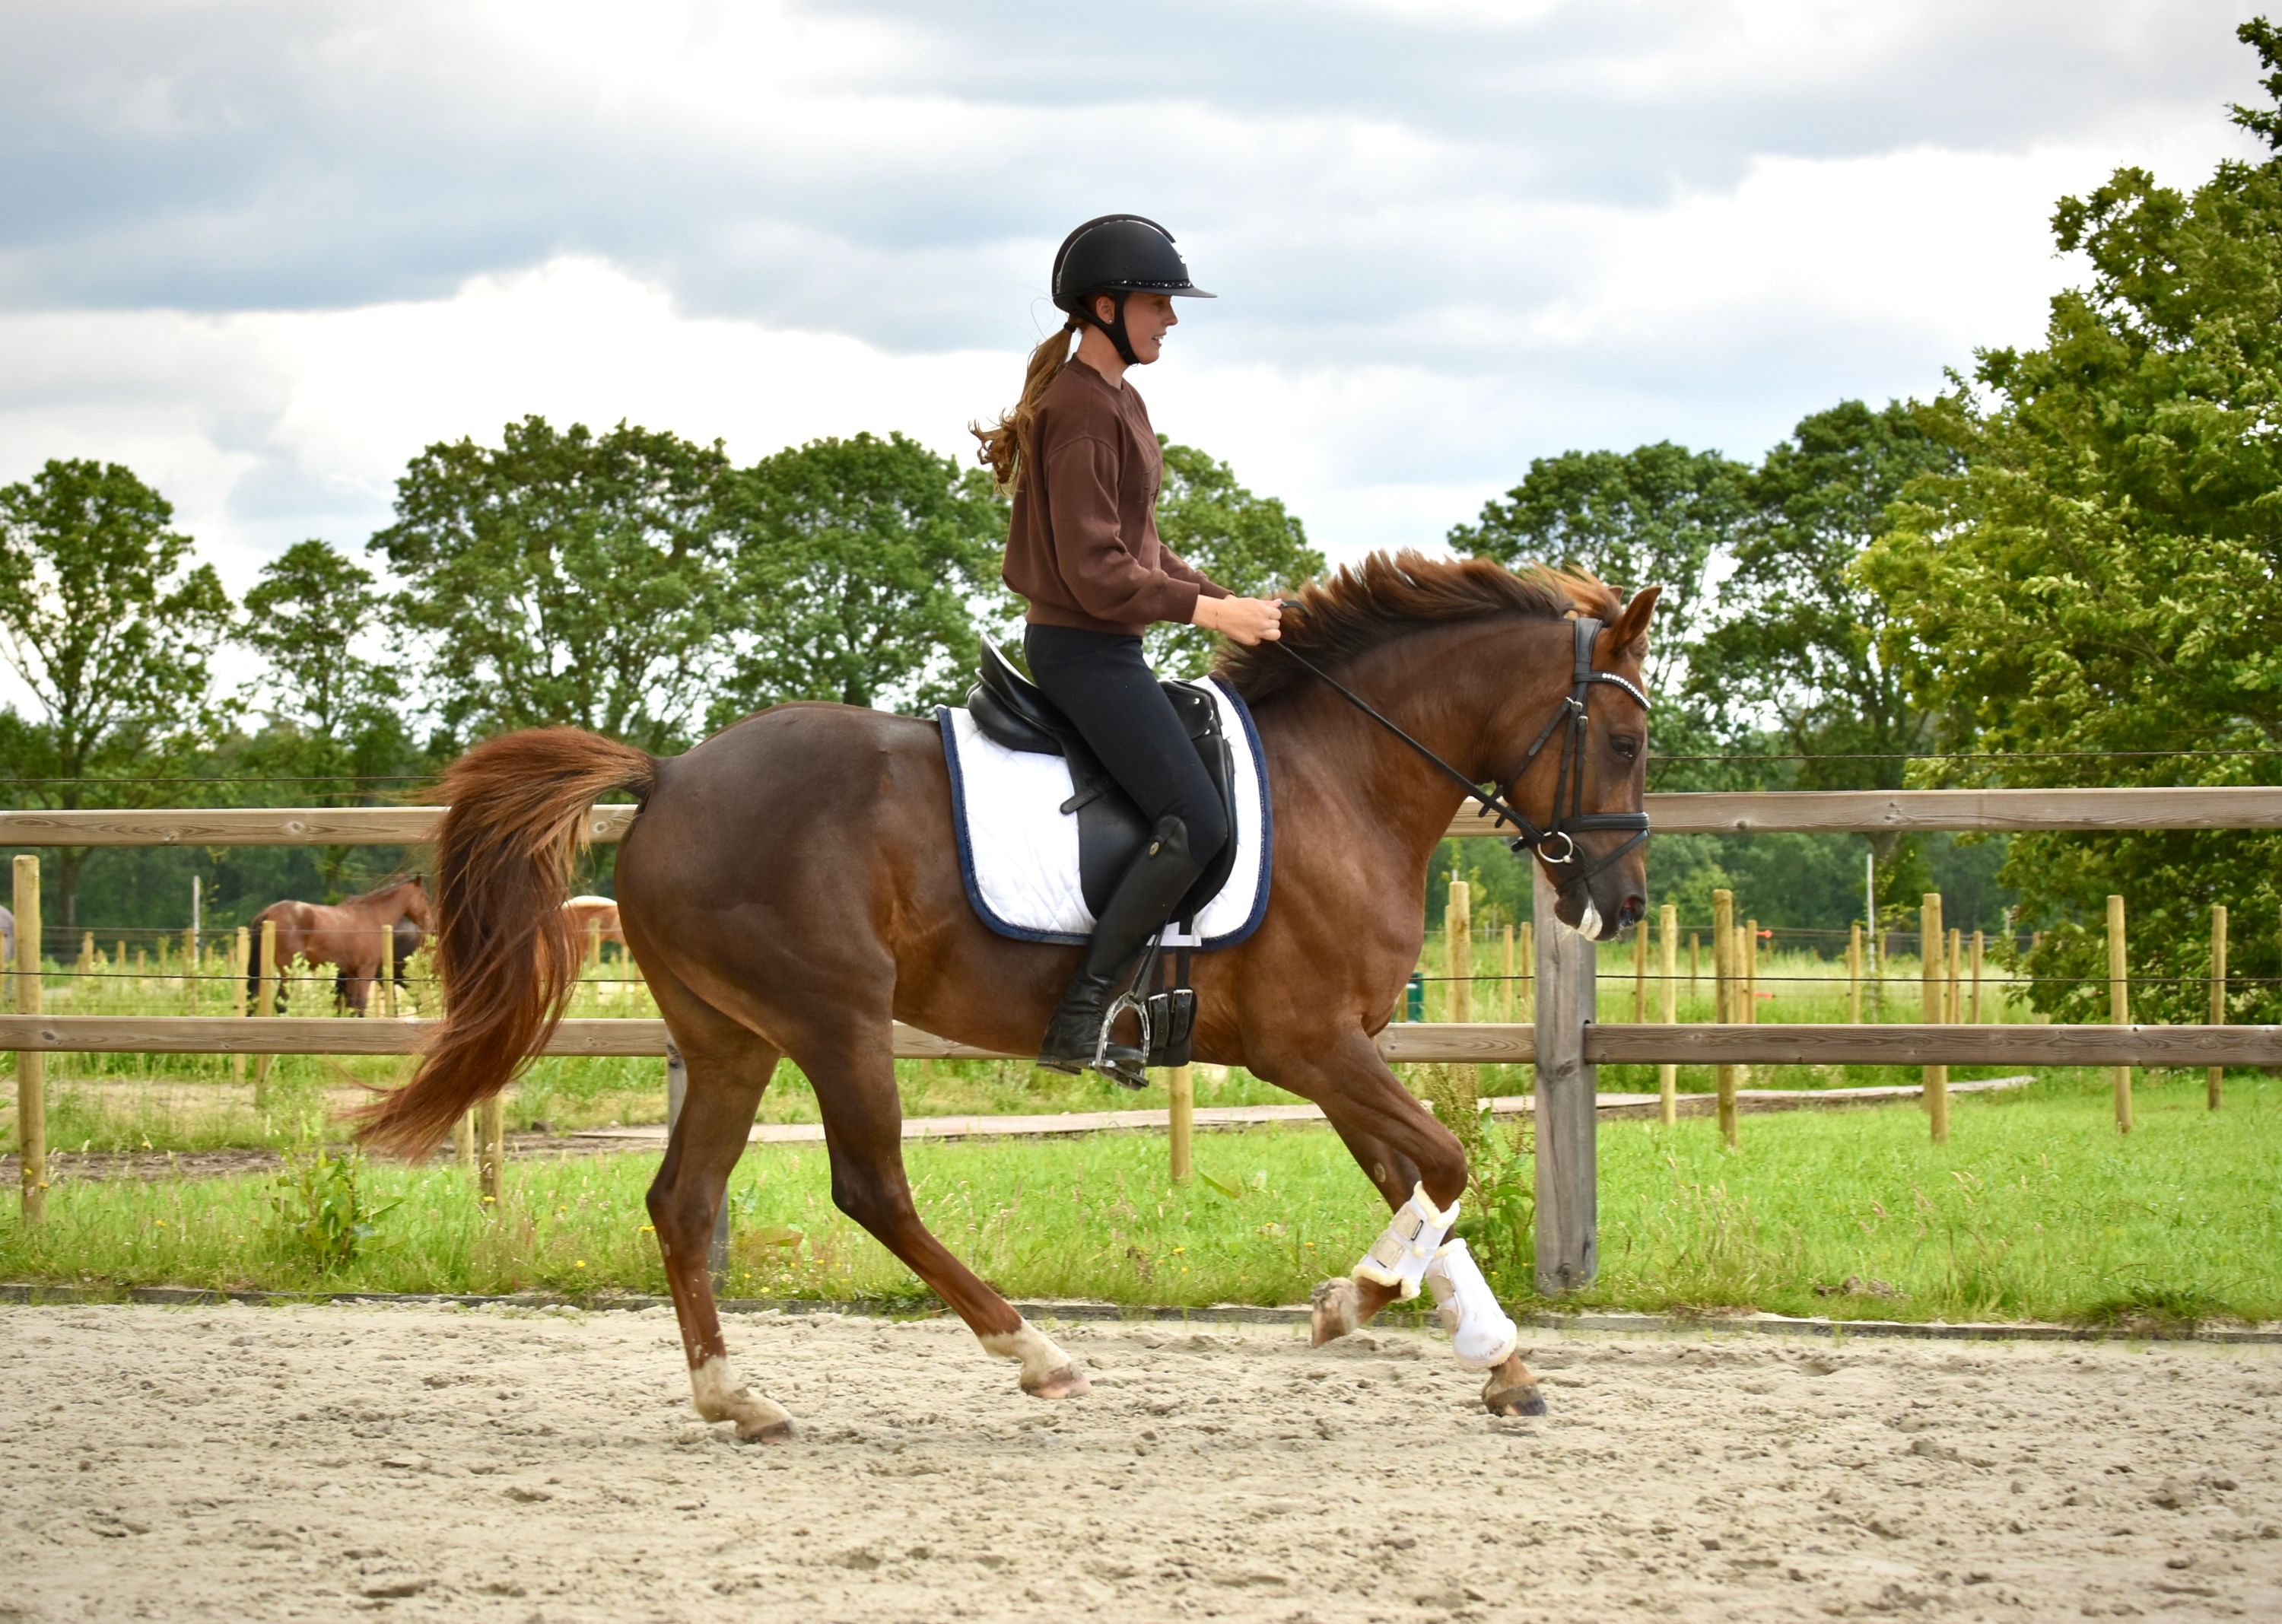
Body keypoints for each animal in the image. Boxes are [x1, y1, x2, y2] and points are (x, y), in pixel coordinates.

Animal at [246, 876, 436, 1016]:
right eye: (425, 897)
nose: (431, 925)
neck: (372, 916)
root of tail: (267, 913)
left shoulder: (351, 973)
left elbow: (351, 1006)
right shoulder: (366, 971)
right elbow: (360, 1005)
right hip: (290, 970)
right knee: (281, 1004)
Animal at [358, 553, 1657, 1440]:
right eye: (1628, 740)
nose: (1624, 903)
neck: (1342, 780)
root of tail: (671, 773)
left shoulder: (1338, 1053)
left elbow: (1421, 1183)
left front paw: (1499, 1357)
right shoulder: (1309, 1043)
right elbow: (1442, 1161)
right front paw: (1354, 1301)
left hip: (730, 1034)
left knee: (684, 1198)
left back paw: (738, 1396)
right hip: (836, 1018)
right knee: (871, 1186)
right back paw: (1035, 1352)